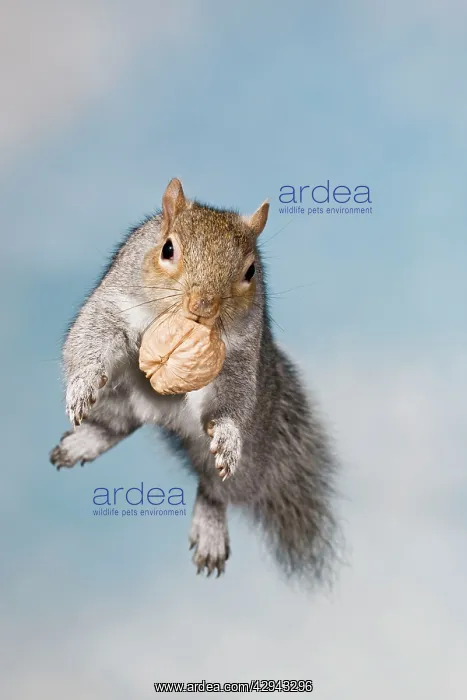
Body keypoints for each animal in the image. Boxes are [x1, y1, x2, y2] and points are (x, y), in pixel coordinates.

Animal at [50, 178, 339, 584]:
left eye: (251, 272)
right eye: (167, 249)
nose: (203, 307)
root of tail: (156, 414)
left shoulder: (240, 353)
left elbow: (233, 393)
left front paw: (228, 434)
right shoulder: (114, 303)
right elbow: (95, 333)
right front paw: (83, 382)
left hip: (249, 459)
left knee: (215, 488)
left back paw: (211, 526)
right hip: (115, 398)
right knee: (116, 426)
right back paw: (83, 442)